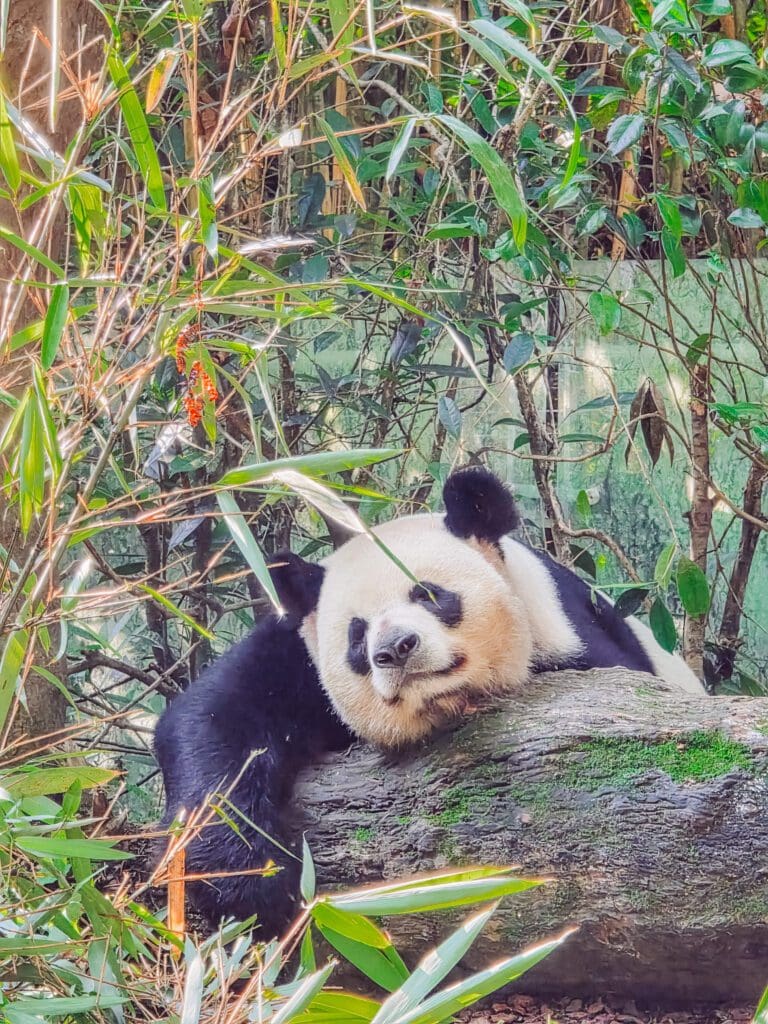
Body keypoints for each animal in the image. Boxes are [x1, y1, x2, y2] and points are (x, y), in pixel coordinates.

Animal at [154, 466, 703, 933]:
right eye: (356, 634)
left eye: (429, 594)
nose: (396, 648)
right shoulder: (297, 659)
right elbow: (216, 719)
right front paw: (248, 880)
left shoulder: (572, 636)